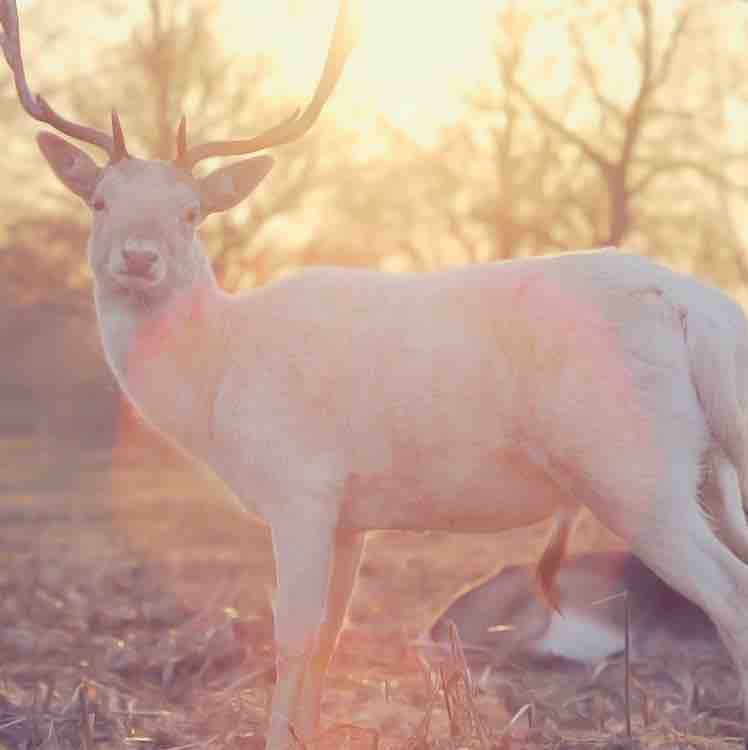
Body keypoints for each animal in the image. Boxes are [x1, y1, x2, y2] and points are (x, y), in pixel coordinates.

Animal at [4, 2, 748, 748]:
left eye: (192, 213)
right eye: (99, 201)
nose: (138, 257)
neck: (218, 381)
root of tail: (693, 306)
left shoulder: (301, 485)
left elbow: (293, 635)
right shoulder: (351, 516)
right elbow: (331, 637)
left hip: (630, 469)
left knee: (729, 592)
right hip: (707, 467)